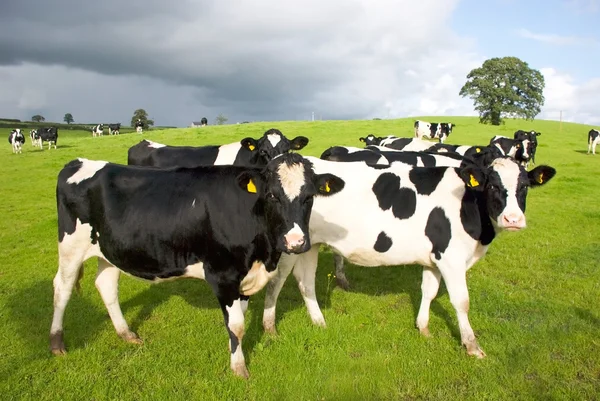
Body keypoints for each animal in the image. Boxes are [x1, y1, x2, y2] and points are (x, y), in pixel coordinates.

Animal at [51, 153, 344, 378]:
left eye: (309, 197)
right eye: (272, 195)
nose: (296, 242)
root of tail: (79, 162)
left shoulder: (246, 277)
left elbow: (240, 319)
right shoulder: (223, 275)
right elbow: (236, 324)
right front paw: (239, 369)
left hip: (109, 251)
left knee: (106, 286)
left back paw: (126, 333)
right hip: (71, 246)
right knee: (62, 289)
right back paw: (56, 343)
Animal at [264, 155, 556, 358]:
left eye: (525, 186)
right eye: (493, 186)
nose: (513, 219)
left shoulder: (434, 258)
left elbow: (429, 291)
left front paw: (423, 328)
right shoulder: (451, 258)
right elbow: (461, 302)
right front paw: (472, 346)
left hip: (309, 245)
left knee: (305, 282)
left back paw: (319, 322)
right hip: (289, 244)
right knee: (276, 281)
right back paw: (270, 328)